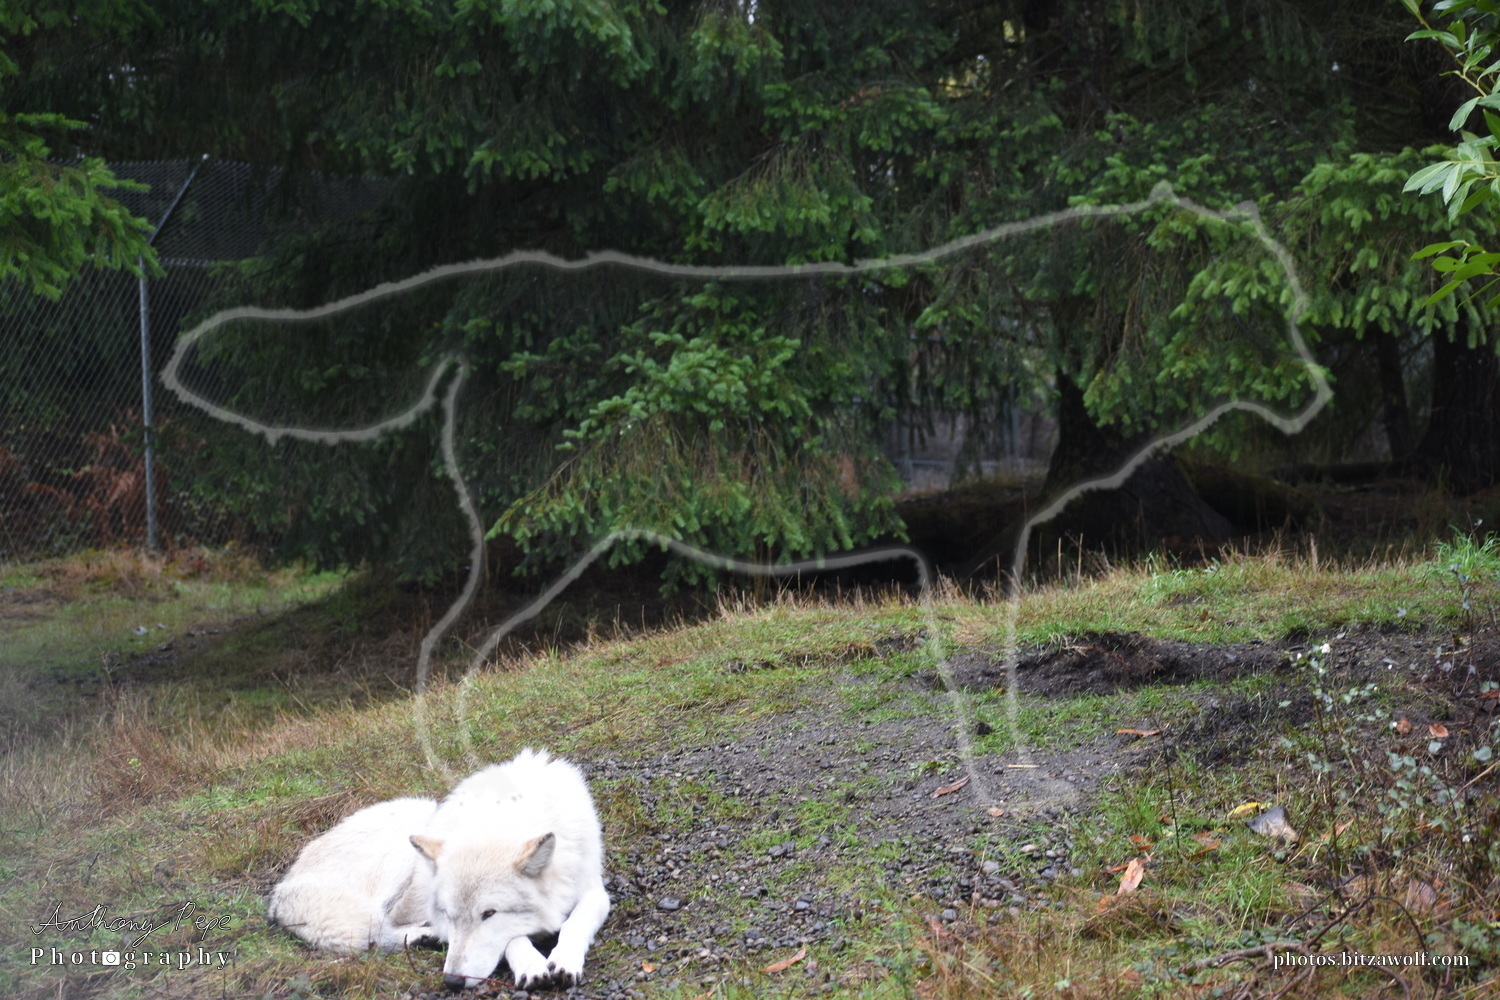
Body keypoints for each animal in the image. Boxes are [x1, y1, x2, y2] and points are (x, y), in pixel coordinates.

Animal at [410, 748, 611, 991]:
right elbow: (513, 938)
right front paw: (531, 966)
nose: (452, 981)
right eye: (450, 915)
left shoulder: (595, 892)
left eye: (489, 913)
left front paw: (565, 959)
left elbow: (574, 922)